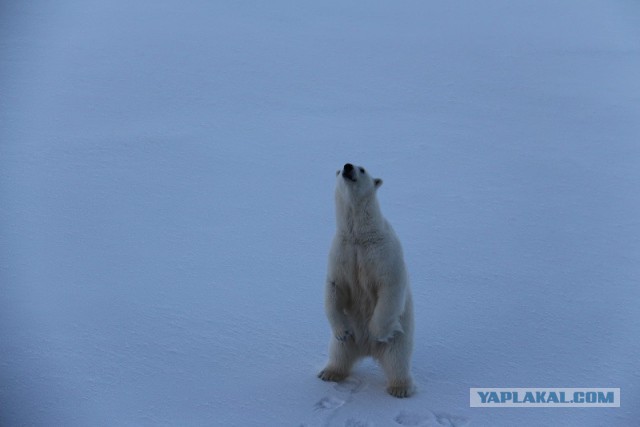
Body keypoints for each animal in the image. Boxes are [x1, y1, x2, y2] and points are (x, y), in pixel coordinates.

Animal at [318, 163, 416, 398]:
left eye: (361, 169)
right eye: (341, 167)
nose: (347, 167)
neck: (359, 236)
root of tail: (367, 349)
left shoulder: (382, 251)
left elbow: (390, 285)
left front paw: (377, 332)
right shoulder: (342, 252)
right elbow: (335, 287)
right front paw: (342, 332)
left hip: (400, 337)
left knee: (397, 358)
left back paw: (400, 388)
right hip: (349, 339)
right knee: (339, 352)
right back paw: (329, 373)